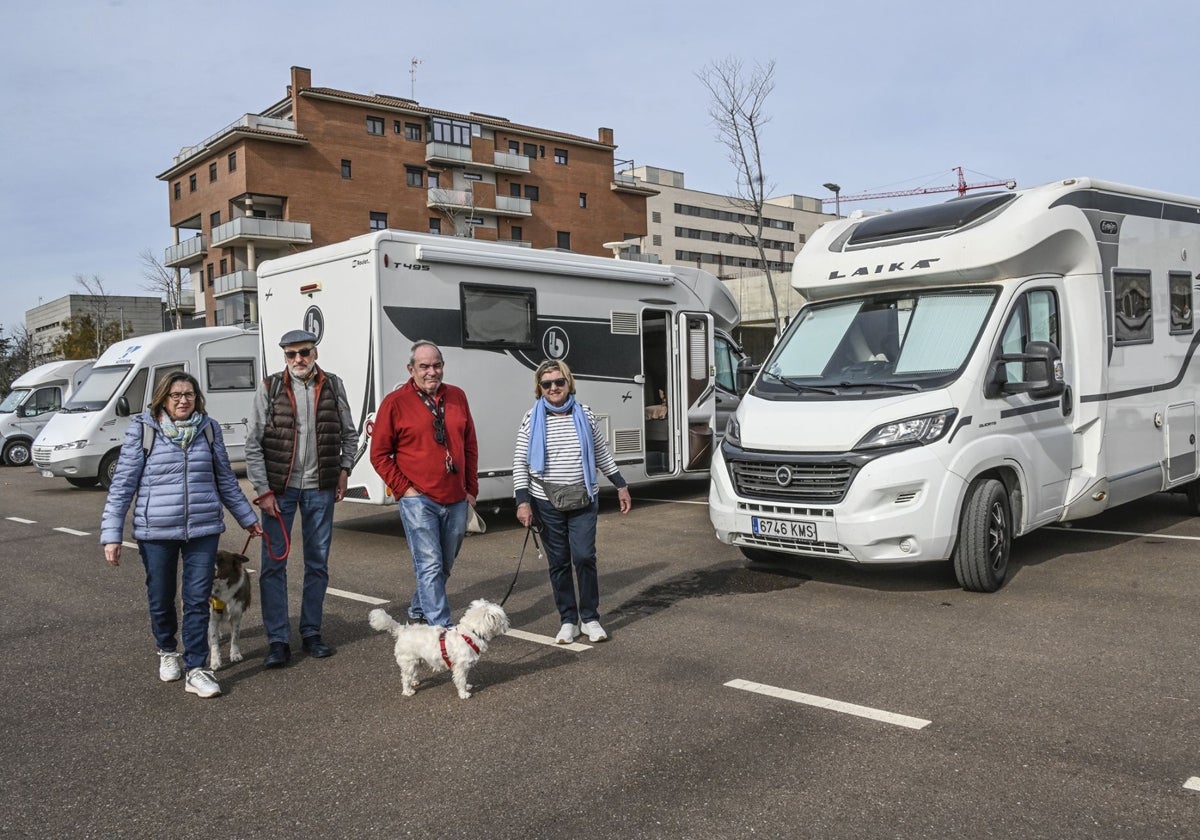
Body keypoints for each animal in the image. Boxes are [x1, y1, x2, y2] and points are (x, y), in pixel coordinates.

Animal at [369, 600, 511, 700]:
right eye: (503, 619)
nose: (508, 625)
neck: (470, 634)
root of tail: (402, 630)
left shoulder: (465, 667)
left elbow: (465, 679)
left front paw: (467, 686)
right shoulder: (460, 666)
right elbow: (461, 680)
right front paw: (464, 693)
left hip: (417, 660)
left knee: (413, 673)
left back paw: (415, 681)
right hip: (408, 661)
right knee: (405, 678)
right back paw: (408, 691)